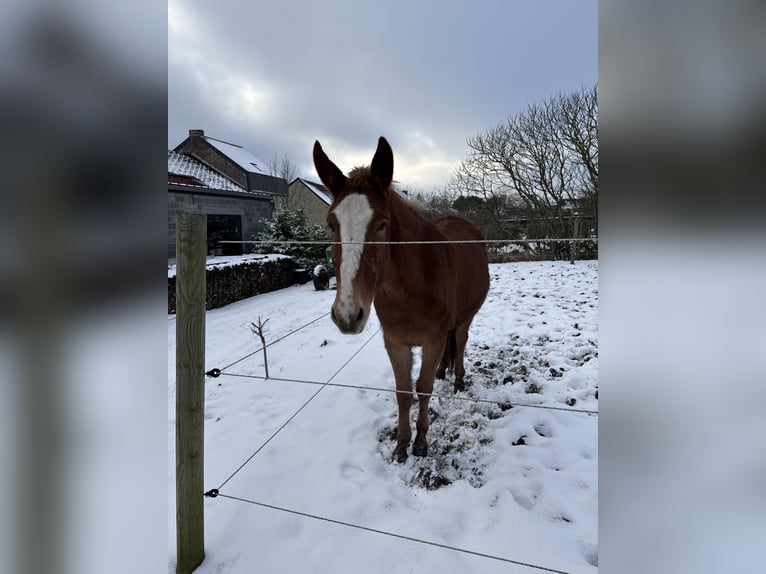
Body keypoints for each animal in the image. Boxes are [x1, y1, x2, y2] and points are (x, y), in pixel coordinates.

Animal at [313, 137, 490, 462]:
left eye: (382, 224)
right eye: (331, 224)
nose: (347, 314)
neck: (410, 290)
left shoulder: (431, 340)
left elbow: (423, 388)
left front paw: (420, 441)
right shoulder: (395, 343)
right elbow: (404, 392)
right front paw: (401, 445)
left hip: (466, 316)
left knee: (460, 340)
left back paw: (458, 378)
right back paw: (444, 370)